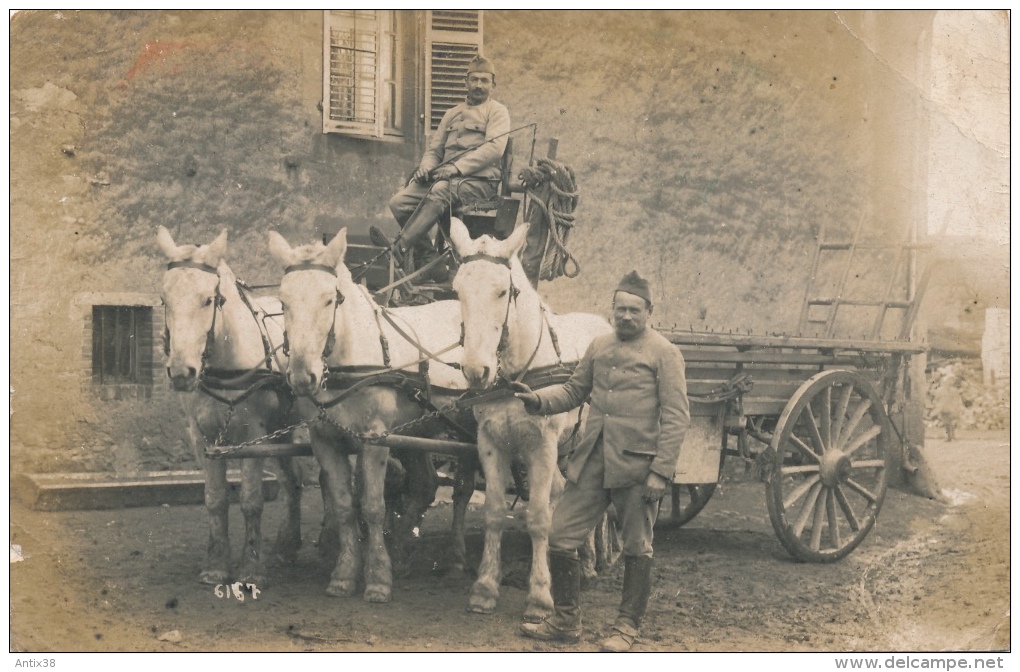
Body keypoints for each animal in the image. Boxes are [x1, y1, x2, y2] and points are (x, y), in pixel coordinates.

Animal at [155, 224, 303, 583]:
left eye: (208, 299)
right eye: (165, 299)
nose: (181, 372)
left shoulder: (253, 438)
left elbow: (250, 500)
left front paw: (250, 566)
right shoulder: (203, 438)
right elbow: (215, 499)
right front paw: (217, 563)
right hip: (282, 430)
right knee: (292, 481)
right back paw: (288, 545)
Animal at [269, 228, 479, 603]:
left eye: (329, 300)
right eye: (283, 302)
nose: (303, 376)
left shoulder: (375, 438)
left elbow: (372, 506)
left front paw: (378, 577)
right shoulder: (325, 441)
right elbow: (343, 505)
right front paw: (344, 573)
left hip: (467, 427)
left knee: (462, 490)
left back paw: (455, 558)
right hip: (416, 432)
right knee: (425, 484)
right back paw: (402, 550)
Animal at [448, 217, 612, 619]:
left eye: (503, 291)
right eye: (458, 290)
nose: (476, 370)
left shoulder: (542, 447)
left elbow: (538, 518)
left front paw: (539, 596)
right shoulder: (490, 443)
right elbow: (494, 512)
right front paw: (485, 588)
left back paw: (592, 562)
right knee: (566, 494)